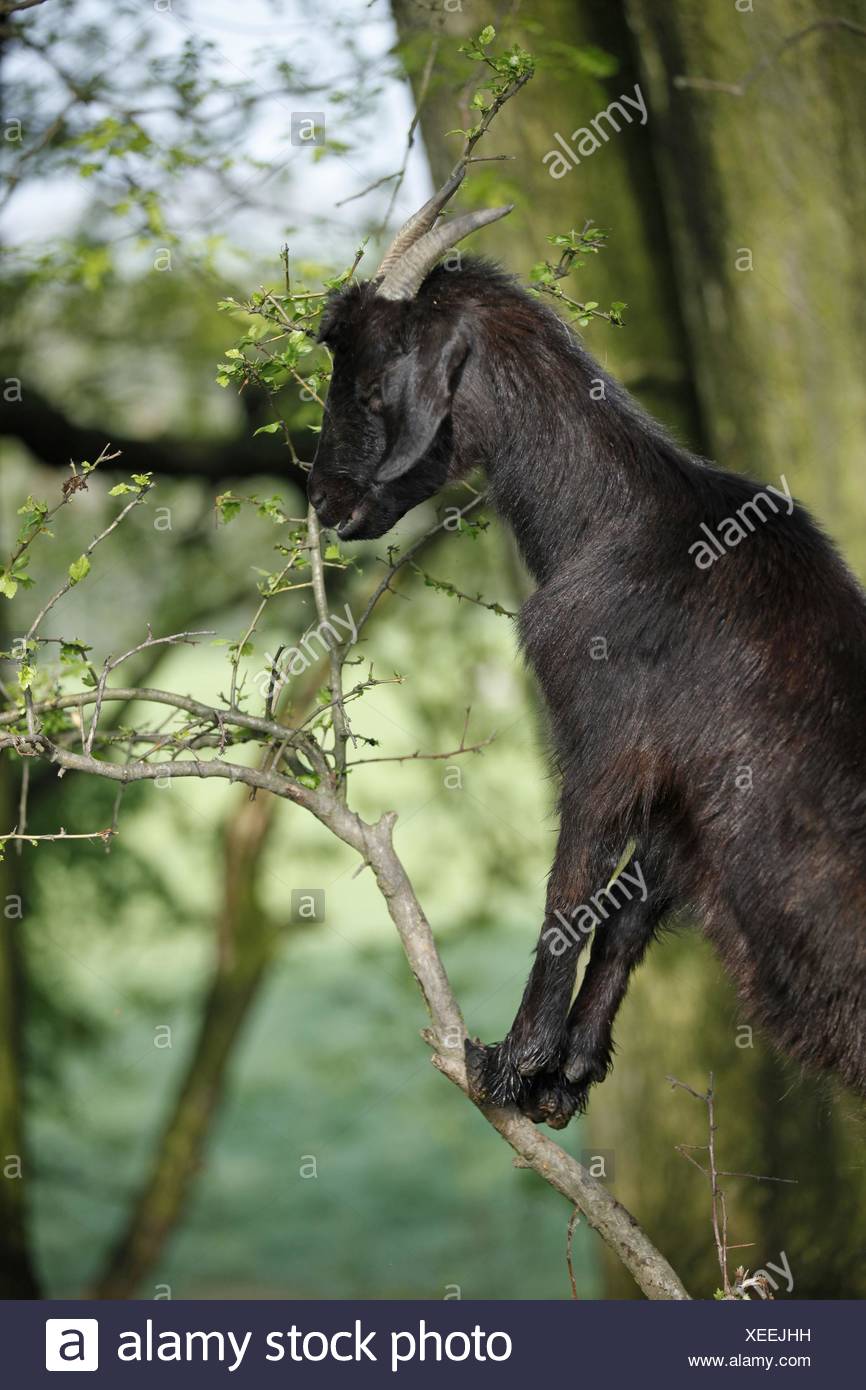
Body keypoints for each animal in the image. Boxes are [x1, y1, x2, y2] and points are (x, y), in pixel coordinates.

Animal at [308, 174, 866, 1129]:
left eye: (375, 378)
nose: (323, 499)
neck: (618, 522)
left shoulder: (604, 738)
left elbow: (570, 893)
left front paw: (509, 1063)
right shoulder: (682, 799)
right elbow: (631, 909)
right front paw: (565, 1075)